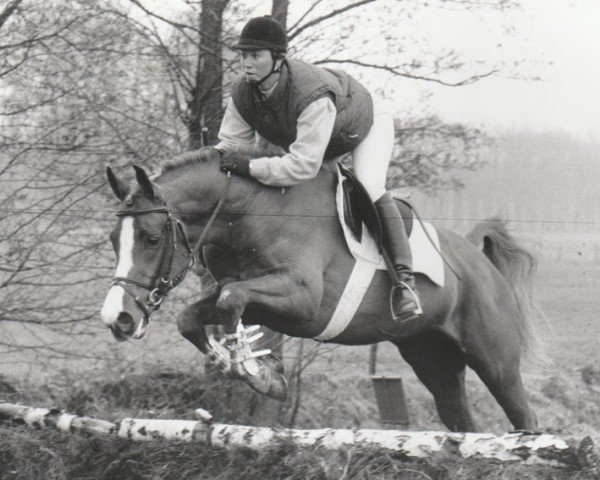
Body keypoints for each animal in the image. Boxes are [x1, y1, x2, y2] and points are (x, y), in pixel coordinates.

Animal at [101, 148, 540, 434]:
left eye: (152, 238)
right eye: (113, 239)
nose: (118, 318)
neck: (253, 213)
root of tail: (481, 262)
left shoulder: (303, 302)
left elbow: (231, 301)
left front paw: (257, 372)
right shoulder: (255, 295)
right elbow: (195, 315)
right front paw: (250, 368)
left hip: (495, 361)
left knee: (524, 416)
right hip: (433, 361)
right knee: (463, 423)